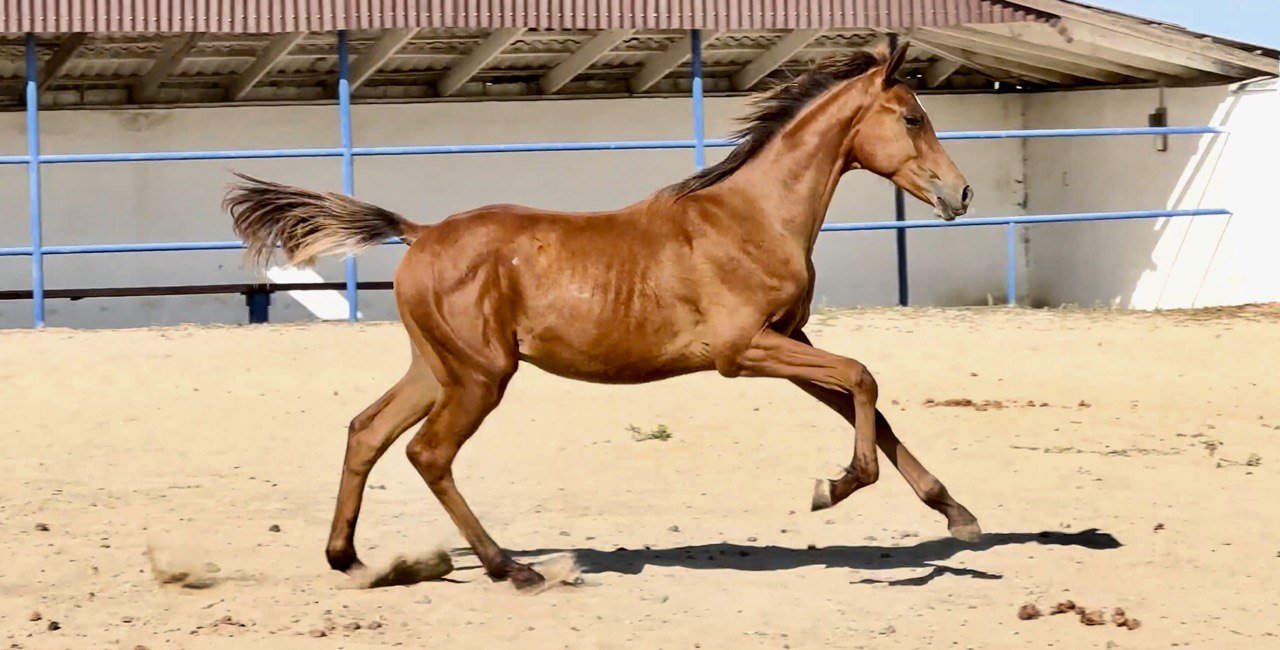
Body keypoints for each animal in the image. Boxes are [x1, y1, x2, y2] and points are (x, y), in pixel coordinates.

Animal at [225, 40, 977, 588]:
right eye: (912, 117)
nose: (961, 193)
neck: (752, 216)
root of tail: (420, 233)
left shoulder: (787, 340)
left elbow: (867, 405)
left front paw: (957, 512)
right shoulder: (743, 351)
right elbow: (863, 378)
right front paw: (836, 487)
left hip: (438, 367)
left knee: (366, 432)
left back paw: (349, 558)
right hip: (480, 377)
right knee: (426, 452)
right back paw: (511, 568)